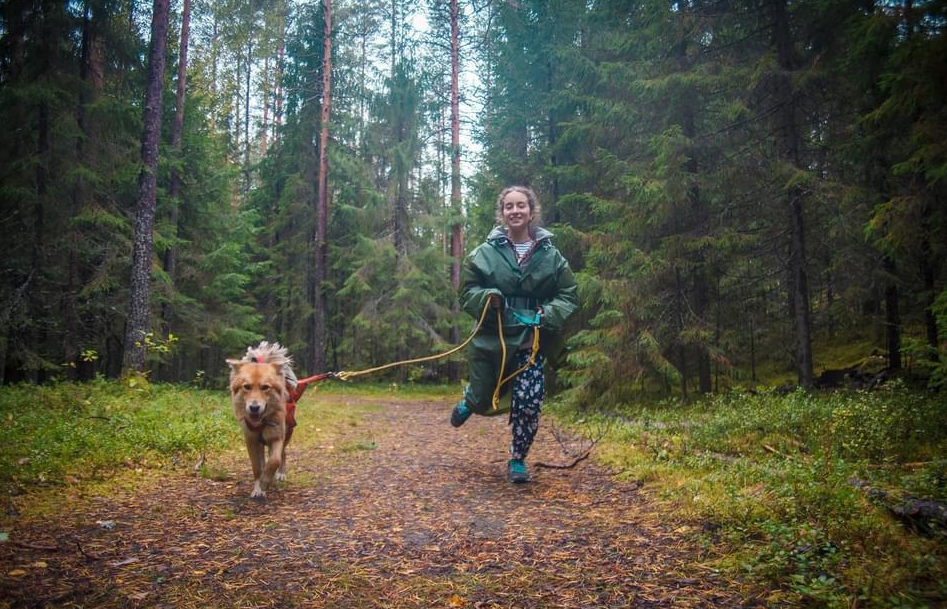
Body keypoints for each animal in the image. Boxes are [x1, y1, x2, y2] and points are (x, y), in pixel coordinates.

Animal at [226, 342, 299, 498]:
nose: (254, 407)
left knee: (283, 454)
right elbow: (257, 467)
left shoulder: (276, 437)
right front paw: (258, 488)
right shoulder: (251, 440)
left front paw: (265, 482)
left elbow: (274, 461)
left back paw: (280, 474)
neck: (261, 422)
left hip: (287, 433)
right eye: (246, 387)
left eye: (265, 387)